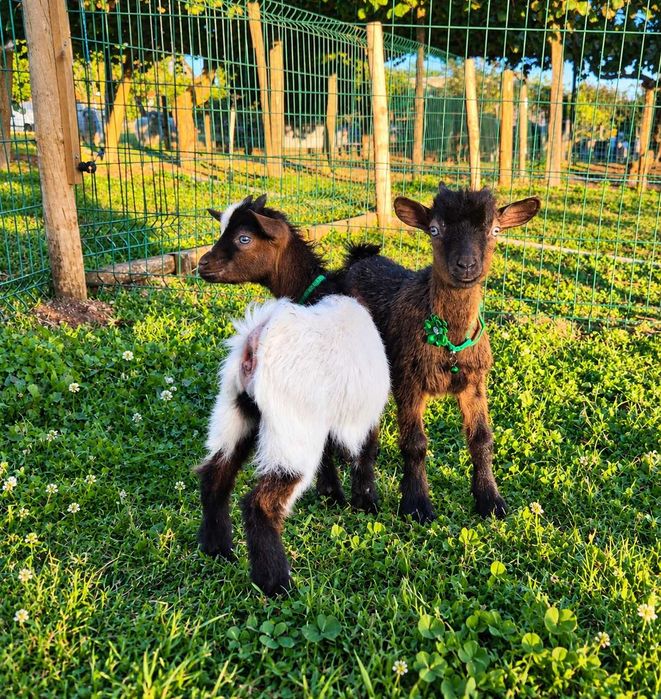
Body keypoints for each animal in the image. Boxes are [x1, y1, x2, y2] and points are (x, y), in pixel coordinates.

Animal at [197, 195, 381, 512]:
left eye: (243, 238)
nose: (202, 264)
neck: (325, 290)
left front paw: (340, 495)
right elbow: (357, 454)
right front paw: (357, 499)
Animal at [197, 295, 390, 595]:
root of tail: (255, 341)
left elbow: (328, 455)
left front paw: (331, 496)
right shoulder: (362, 417)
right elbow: (364, 457)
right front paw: (365, 503)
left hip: (232, 413)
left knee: (214, 476)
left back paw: (217, 549)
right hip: (290, 433)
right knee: (261, 503)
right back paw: (276, 584)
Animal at [342, 185, 540, 522]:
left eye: (495, 230)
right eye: (434, 229)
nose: (466, 265)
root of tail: (359, 259)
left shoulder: (474, 383)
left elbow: (481, 439)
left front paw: (490, 500)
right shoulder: (408, 381)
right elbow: (415, 444)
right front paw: (417, 504)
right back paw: (364, 496)